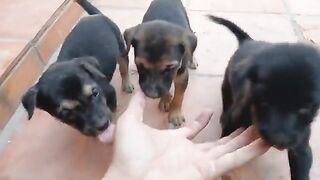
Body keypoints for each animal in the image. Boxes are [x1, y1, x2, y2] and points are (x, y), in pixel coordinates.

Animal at [21, 0, 132, 138]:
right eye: (66, 113)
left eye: (95, 93)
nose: (103, 125)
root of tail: (95, 16)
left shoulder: (110, 94)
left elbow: (112, 112)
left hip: (120, 47)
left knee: (123, 65)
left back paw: (127, 83)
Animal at [208, 15, 320, 180]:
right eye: (264, 101)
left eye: (305, 108)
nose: (279, 140)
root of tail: (248, 41)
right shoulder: (232, 123)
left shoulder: (301, 147)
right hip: (227, 83)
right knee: (226, 99)